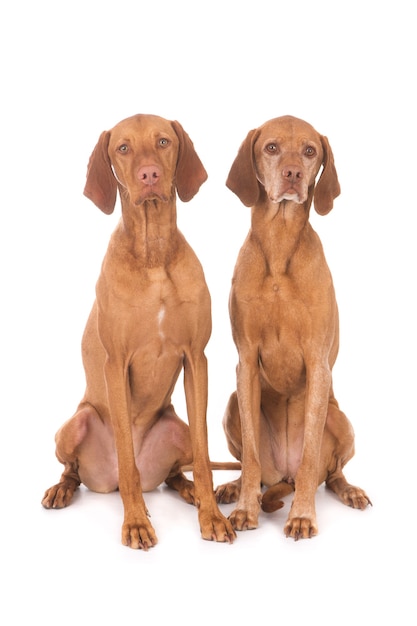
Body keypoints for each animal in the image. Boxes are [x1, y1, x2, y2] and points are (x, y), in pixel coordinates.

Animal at [43, 114, 237, 548]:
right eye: (123, 148)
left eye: (163, 141)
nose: (150, 175)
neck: (153, 256)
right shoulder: (116, 364)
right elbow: (127, 463)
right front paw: (135, 522)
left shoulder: (196, 358)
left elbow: (204, 456)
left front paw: (211, 517)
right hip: (76, 424)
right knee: (78, 470)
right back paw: (63, 489)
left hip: (177, 427)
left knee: (176, 471)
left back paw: (191, 492)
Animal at [214, 113, 370, 536]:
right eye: (271, 147)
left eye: (310, 150)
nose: (293, 174)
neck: (280, 241)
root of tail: (281, 473)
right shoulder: (246, 362)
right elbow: (251, 455)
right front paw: (246, 509)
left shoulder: (318, 364)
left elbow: (311, 457)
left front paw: (301, 515)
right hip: (233, 404)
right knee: (254, 465)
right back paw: (235, 488)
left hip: (340, 419)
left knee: (326, 473)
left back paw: (347, 490)